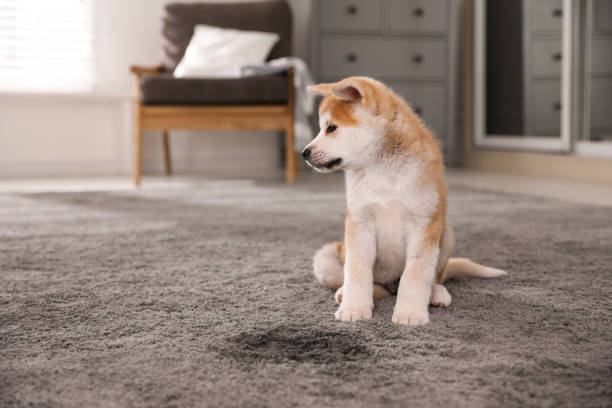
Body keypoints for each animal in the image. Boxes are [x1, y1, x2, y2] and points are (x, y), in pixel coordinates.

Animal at [304, 76, 504, 326]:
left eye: (331, 127)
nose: (304, 153)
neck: (382, 170)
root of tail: (390, 285)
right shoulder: (360, 222)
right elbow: (357, 269)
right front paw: (354, 308)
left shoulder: (424, 223)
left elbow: (416, 273)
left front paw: (410, 313)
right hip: (333, 254)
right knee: (364, 280)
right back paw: (344, 292)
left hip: (446, 233)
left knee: (435, 277)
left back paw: (436, 293)